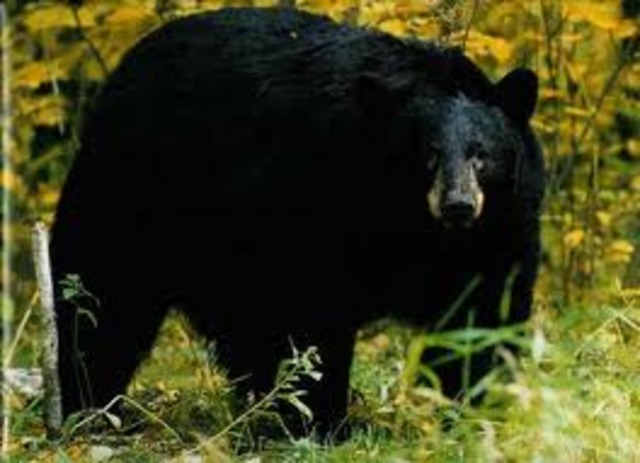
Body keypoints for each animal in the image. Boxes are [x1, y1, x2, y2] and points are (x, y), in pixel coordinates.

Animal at [49, 6, 545, 439]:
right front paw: (328, 425)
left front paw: (475, 410)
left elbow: (484, 316)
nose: (458, 205)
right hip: (130, 199)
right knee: (102, 303)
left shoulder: (499, 232)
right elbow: (316, 318)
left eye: (481, 154)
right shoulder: (316, 206)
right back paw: (90, 408)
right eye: (427, 153)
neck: (415, 228)